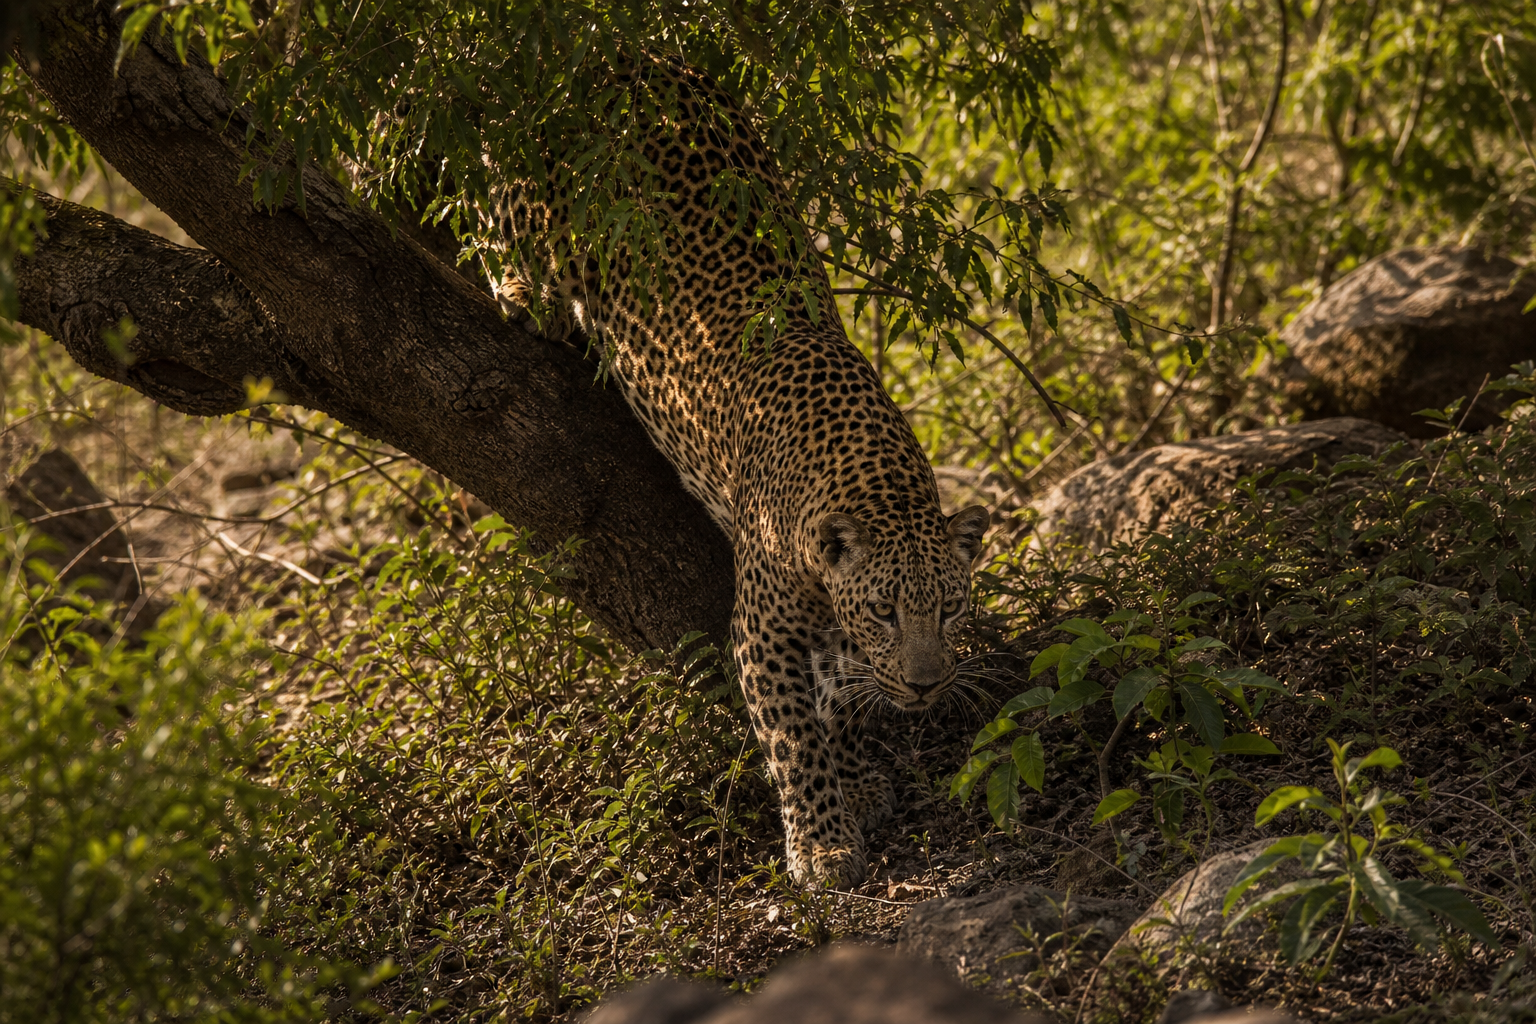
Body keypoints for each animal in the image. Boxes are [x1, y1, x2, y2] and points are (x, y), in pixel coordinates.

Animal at [488, 62, 992, 886]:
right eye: (886, 612)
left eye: (949, 608)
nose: (926, 686)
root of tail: (628, 61)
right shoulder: (761, 631)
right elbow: (795, 738)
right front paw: (822, 843)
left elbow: (838, 705)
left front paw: (858, 780)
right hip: (535, 204)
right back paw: (523, 294)